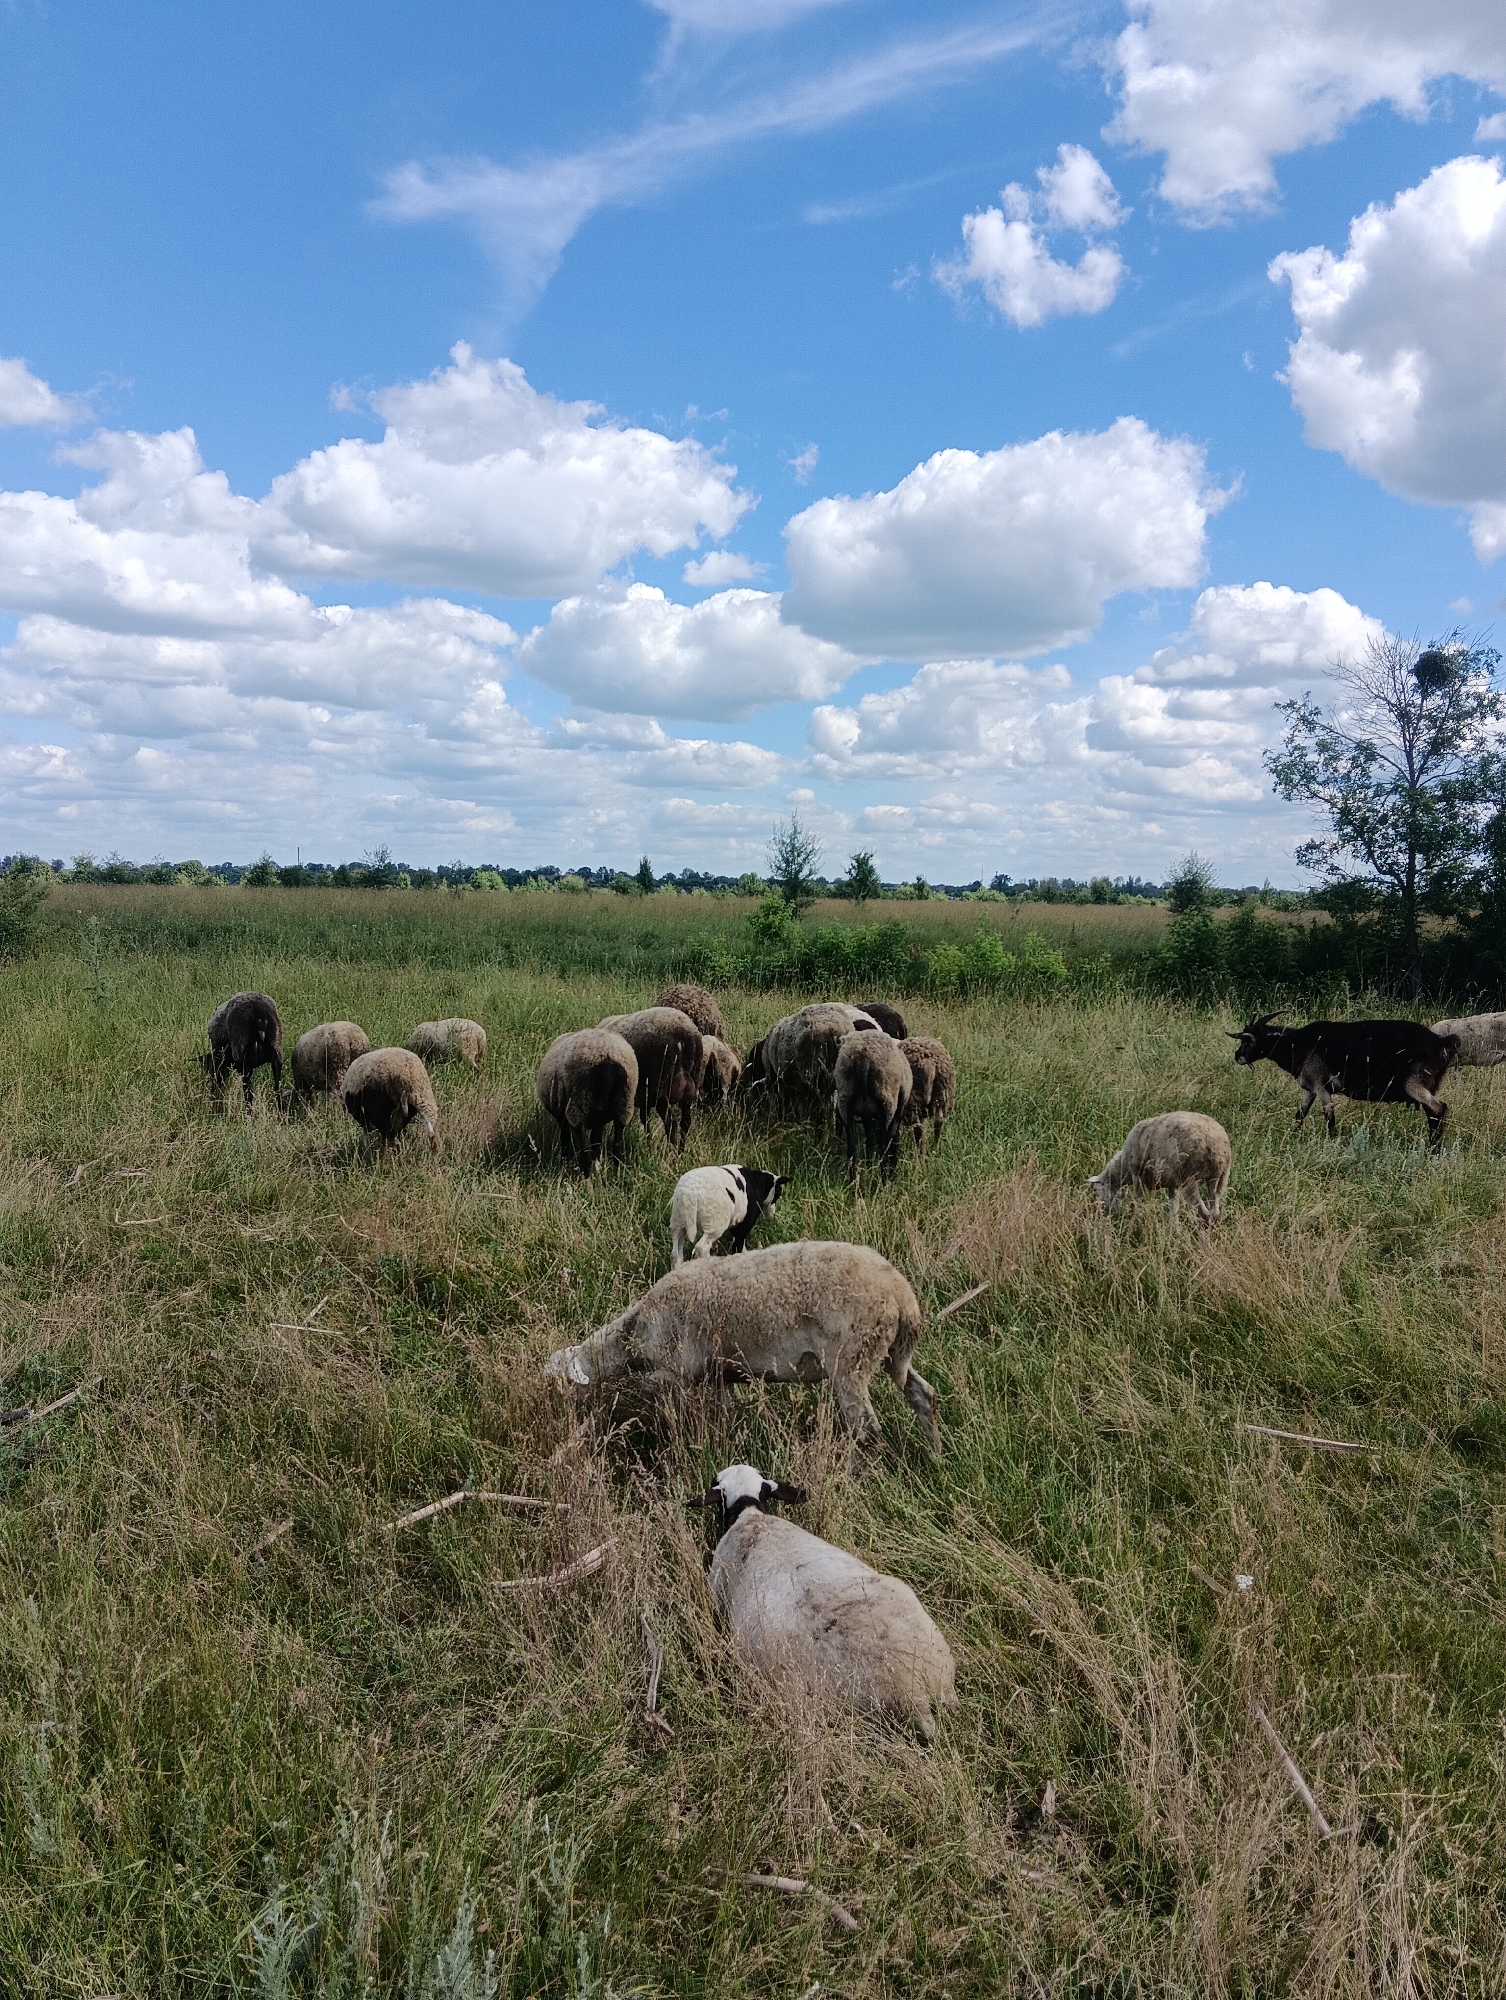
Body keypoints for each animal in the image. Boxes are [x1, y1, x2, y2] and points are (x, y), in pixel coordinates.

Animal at [535, 1028, 639, 1174]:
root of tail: (607, 1056)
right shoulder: (598, 1121)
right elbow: (596, 1141)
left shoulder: (563, 1116)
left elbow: (565, 1139)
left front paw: (565, 1163)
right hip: (624, 1104)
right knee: (617, 1146)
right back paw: (615, 1175)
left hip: (577, 1105)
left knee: (585, 1150)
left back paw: (587, 1177)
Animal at [544, 1240, 937, 1450]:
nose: (554, 1419)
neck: (635, 1332)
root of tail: (903, 1297)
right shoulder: (720, 1372)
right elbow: (726, 1411)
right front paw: (723, 1443)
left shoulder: (677, 1369)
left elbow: (649, 1390)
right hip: (886, 1353)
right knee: (922, 1393)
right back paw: (935, 1453)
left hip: (850, 1359)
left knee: (867, 1431)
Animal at [597, 1006, 705, 1144]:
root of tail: (684, 1036)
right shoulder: (644, 1097)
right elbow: (644, 1119)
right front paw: (649, 1143)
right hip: (690, 1088)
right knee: (685, 1123)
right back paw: (680, 1149)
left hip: (660, 1088)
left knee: (671, 1124)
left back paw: (671, 1149)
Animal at [833, 1029, 911, 1178]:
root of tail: (863, 1055)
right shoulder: (897, 1113)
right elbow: (893, 1141)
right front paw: (892, 1173)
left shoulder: (866, 1115)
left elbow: (869, 1140)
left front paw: (870, 1167)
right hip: (887, 1101)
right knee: (883, 1147)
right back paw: (884, 1180)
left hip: (845, 1100)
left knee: (852, 1148)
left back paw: (854, 1181)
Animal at [1089, 1111, 1231, 1226]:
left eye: (1096, 1190)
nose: (1106, 1213)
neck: (1124, 1167)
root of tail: (1216, 1144)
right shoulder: (1173, 1184)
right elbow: (1173, 1209)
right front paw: (1175, 1234)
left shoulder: (1137, 1173)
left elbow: (1136, 1202)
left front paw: (1131, 1222)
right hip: (1220, 1178)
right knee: (1215, 1214)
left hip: (1190, 1179)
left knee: (1204, 1215)